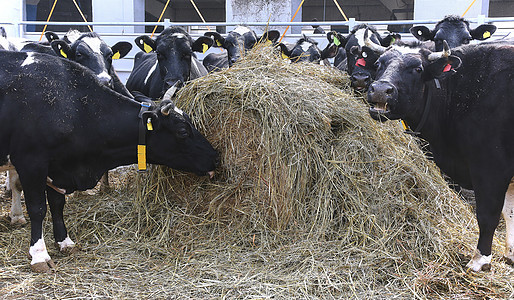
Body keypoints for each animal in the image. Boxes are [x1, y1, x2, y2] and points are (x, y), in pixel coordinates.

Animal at [0, 51, 218, 272]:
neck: (70, 105)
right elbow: (38, 208)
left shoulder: (58, 167)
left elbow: (57, 204)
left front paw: (65, 242)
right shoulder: (32, 163)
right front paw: (39, 255)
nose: (215, 156)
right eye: (182, 131)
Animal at [364, 36, 512, 270]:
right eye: (378, 64)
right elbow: (510, 212)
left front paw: (480, 260)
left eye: (418, 69)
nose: (380, 89)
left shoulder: (491, 166)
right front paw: (510, 254)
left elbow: (488, 214)